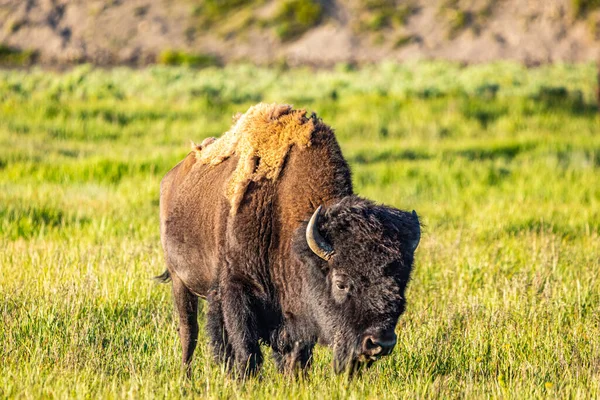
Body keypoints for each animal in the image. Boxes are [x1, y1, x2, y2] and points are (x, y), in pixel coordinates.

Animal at [159, 102, 422, 376]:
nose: (379, 343)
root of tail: (172, 176)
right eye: (341, 283)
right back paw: (185, 376)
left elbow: (295, 354)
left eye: (402, 282)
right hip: (180, 282)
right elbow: (247, 350)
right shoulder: (236, 288)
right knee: (189, 333)